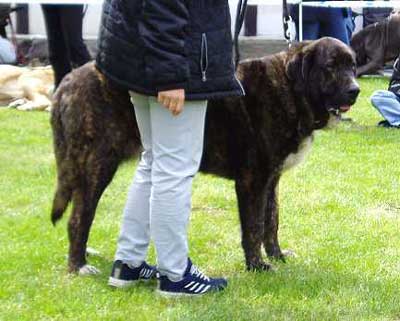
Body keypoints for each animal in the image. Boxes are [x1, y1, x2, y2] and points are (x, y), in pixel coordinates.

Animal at [50, 37, 360, 272]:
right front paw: (257, 265)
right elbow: (254, 226)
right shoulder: (253, 181)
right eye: (330, 67)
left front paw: (277, 256)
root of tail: (66, 81)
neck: (292, 91)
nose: (355, 90)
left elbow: (272, 221)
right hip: (97, 165)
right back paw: (78, 265)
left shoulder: (271, 179)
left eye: (353, 66)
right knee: (78, 217)